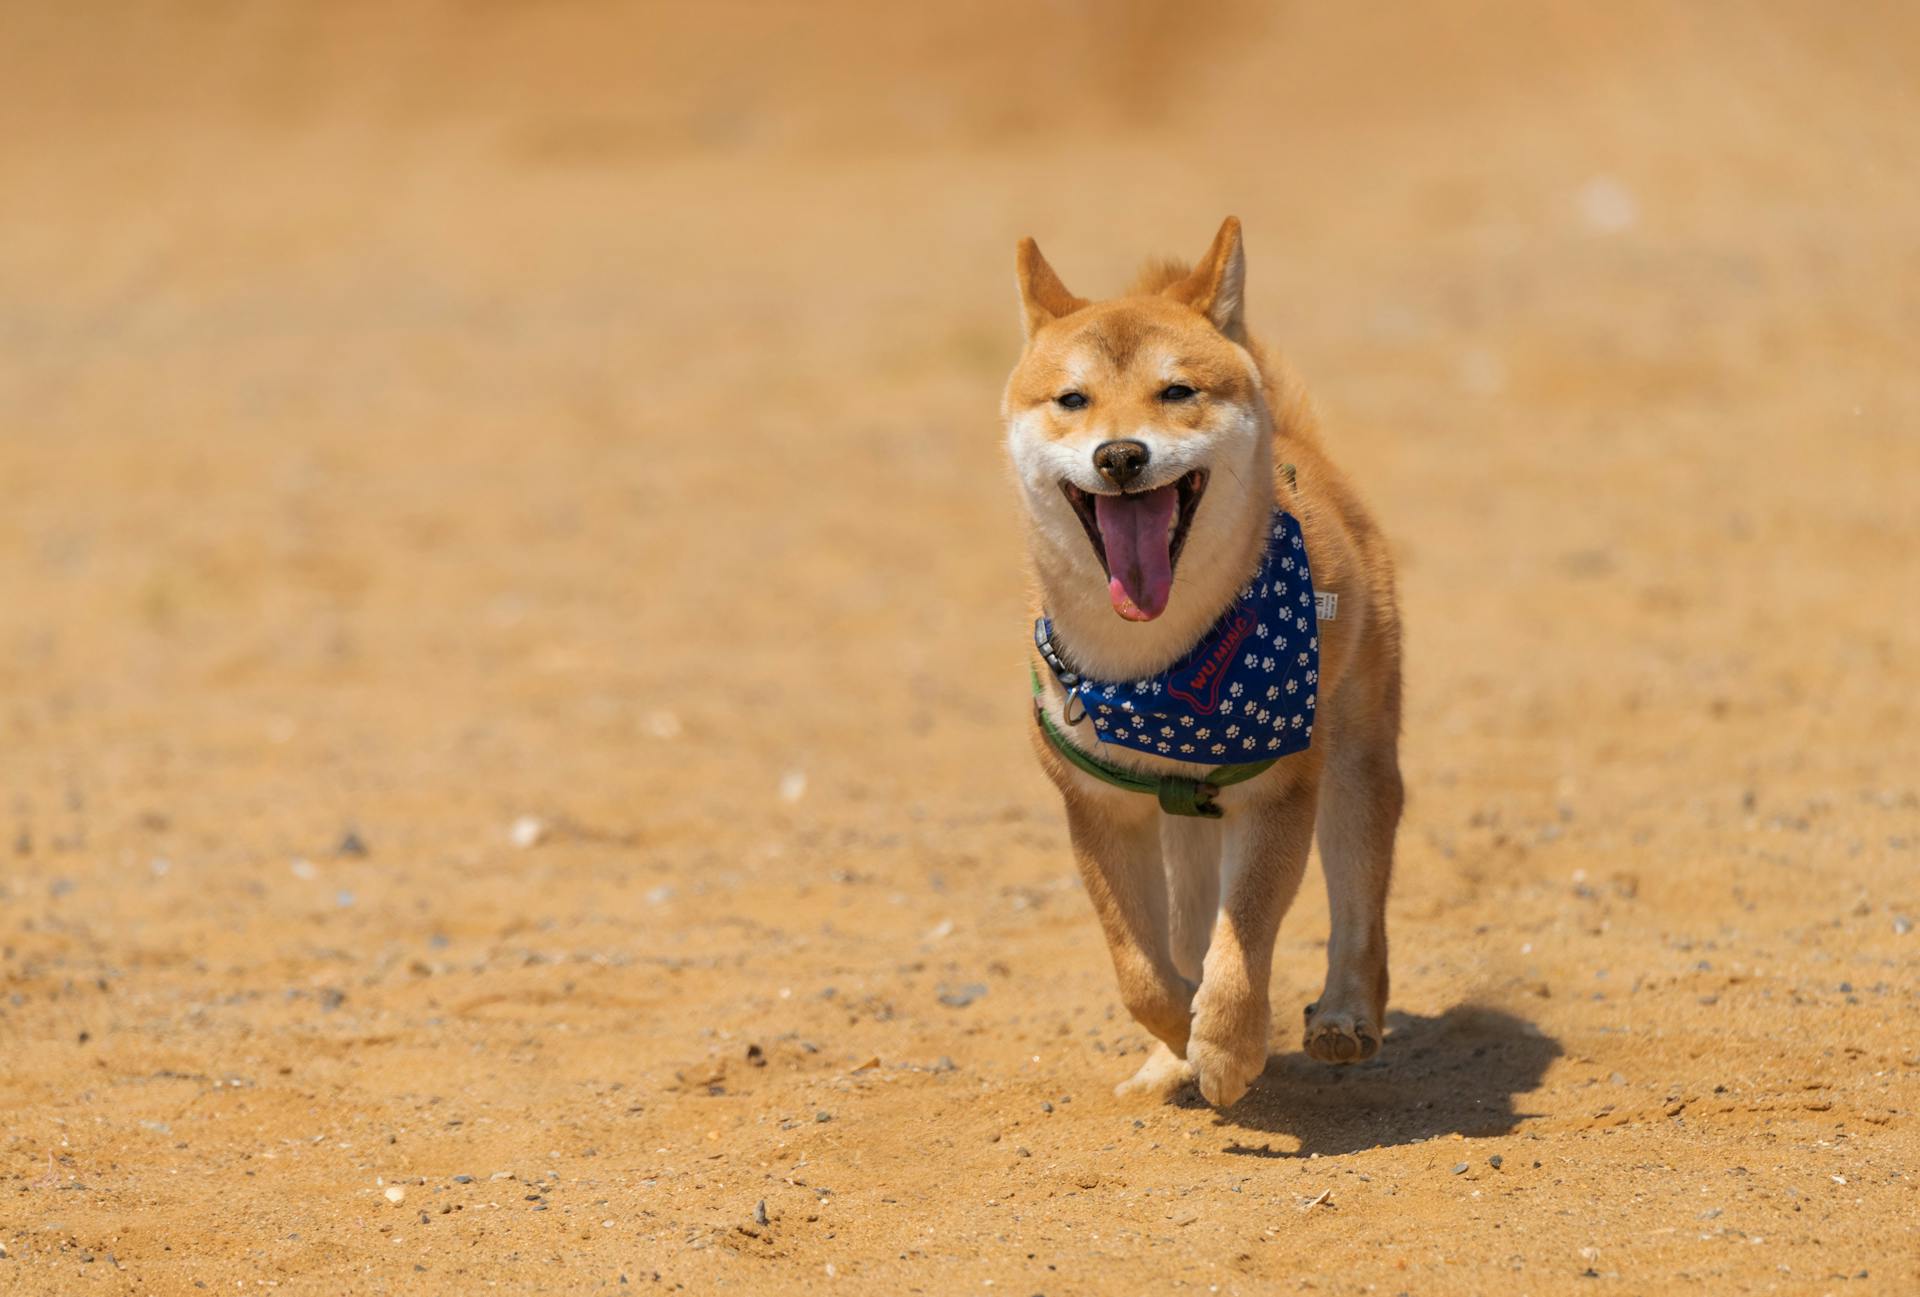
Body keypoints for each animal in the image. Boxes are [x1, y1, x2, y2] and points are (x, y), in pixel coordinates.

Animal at [1006, 220, 1397, 1105]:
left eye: (1177, 391)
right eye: (1072, 400)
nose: (1120, 455)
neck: (1161, 667)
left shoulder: (1280, 787)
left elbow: (1243, 935)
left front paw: (1225, 1045)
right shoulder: (1099, 808)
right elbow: (1143, 972)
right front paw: (1178, 1040)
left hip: (1355, 759)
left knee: (1360, 902)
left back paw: (1345, 1014)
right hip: (1181, 822)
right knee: (1187, 924)